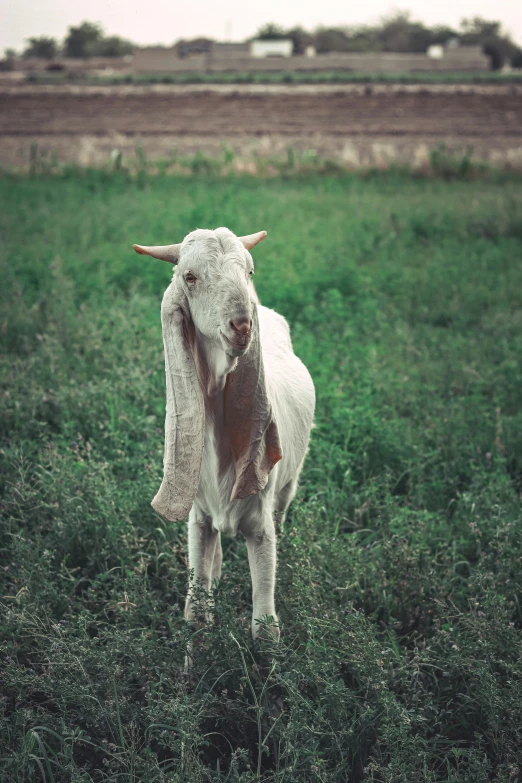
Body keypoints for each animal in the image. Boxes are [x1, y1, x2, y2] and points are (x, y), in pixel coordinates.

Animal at [133, 224, 312, 640]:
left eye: (250, 271)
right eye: (189, 276)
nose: (243, 326)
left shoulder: (260, 526)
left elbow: (264, 626)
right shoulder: (198, 519)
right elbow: (196, 613)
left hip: (289, 484)